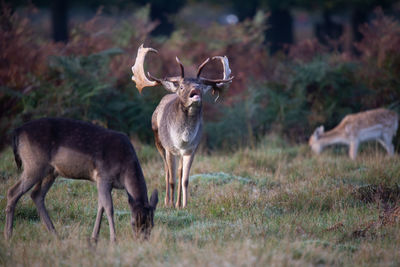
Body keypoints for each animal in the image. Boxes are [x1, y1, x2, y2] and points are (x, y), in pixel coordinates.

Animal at [4, 119, 159, 243]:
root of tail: (17, 132)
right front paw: (113, 240)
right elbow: (108, 208)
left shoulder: (102, 182)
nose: (142, 241)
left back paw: (55, 234)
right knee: (13, 192)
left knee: (36, 194)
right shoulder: (103, 176)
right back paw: (9, 235)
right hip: (34, 166)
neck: (125, 168)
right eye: (133, 222)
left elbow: (100, 206)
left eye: (151, 224)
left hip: (50, 172)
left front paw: (94, 238)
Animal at [131, 44, 233, 208]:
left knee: (179, 171)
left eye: (200, 85)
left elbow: (185, 179)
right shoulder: (169, 148)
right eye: (181, 87)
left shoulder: (192, 149)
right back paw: (167, 201)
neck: (183, 139)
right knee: (167, 171)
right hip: (158, 142)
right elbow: (172, 179)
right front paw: (171, 204)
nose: (195, 90)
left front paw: (184, 205)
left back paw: (178, 202)